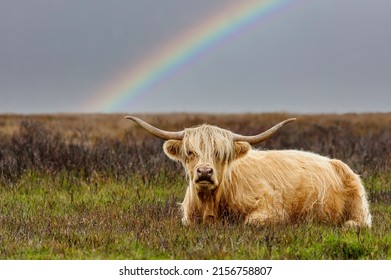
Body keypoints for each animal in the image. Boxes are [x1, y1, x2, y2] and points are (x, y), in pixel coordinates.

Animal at [127, 116, 372, 228]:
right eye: (190, 152)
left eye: (220, 153)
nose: (204, 172)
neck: (210, 203)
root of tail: (335, 162)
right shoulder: (188, 219)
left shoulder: (271, 210)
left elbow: (250, 222)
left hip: (358, 207)